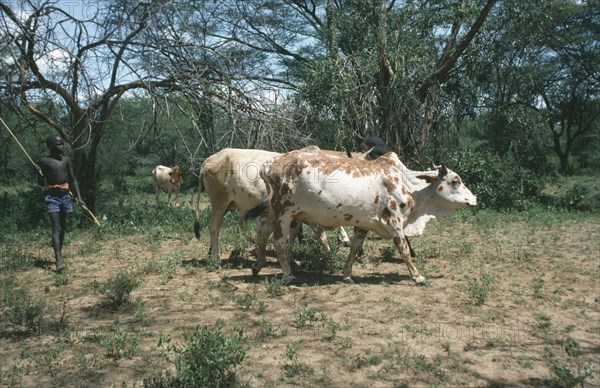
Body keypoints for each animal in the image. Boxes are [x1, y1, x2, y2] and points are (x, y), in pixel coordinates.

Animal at [248, 146, 478, 284]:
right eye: (455, 181)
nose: (475, 199)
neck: (407, 184)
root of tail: (270, 165)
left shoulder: (364, 225)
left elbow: (354, 248)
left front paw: (347, 275)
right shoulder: (394, 221)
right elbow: (404, 249)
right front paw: (418, 276)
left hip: (276, 212)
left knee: (261, 232)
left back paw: (258, 266)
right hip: (284, 213)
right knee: (279, 241)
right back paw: (288, 275)